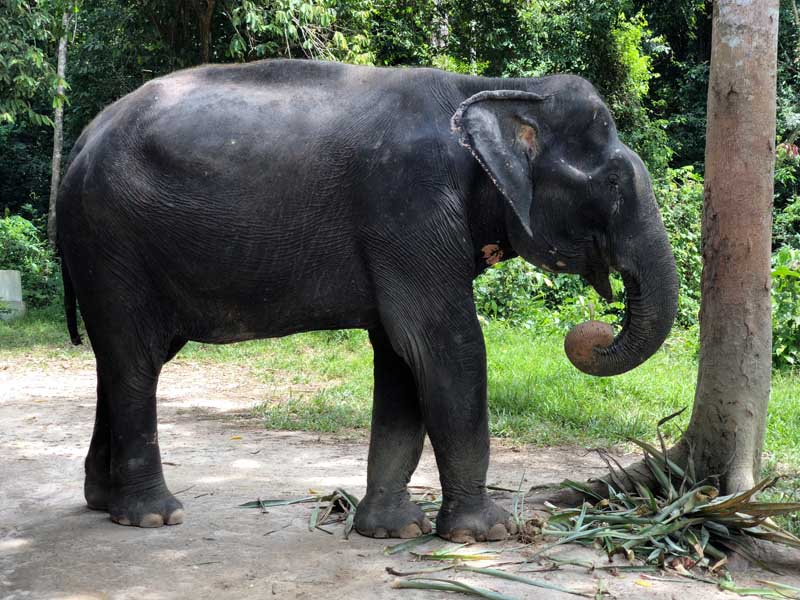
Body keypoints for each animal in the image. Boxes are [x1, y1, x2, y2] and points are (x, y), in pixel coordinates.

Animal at [59, 58, 680, 540]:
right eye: (614, 184)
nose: (590, 334)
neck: (496, 87)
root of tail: (82, 140)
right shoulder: (408, 206)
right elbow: (444, 344)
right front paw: (486, 533)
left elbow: (402, 359)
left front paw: (390, 530)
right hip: (110, 238)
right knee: (135, 359)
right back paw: (153, 517)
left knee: (123, 361)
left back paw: (103, 502)